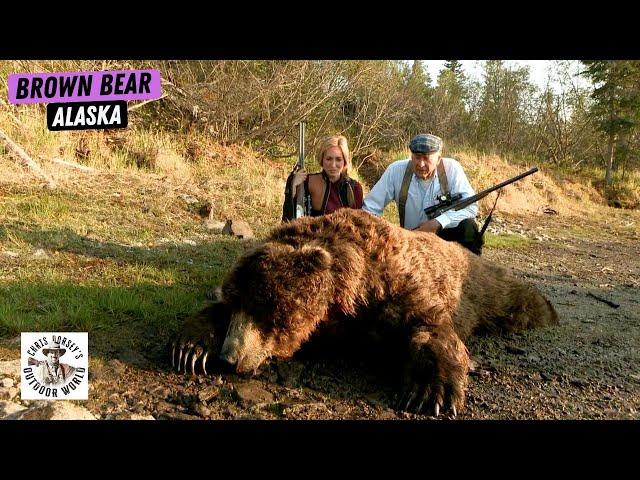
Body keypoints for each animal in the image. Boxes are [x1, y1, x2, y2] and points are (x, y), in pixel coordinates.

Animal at [172, 210, 556, 416]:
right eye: (236, 301)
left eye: (266, 308)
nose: (229, 358)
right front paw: (191, 349)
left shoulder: (398, 290)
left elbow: (430, 329)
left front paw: (431, 393)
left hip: (487, 287)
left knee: (518, 299)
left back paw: (548, 311)